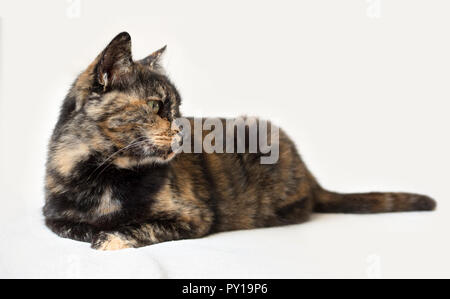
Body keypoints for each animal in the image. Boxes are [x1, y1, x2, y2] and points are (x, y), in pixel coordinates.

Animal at [43, 32, 436, 251]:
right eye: (156, 106)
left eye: (178, 109)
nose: (181, 129)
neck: (103, 173)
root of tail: (309, 173)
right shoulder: (51, 216)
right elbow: (70, 227)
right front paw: (94, 229)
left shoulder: (194, 217)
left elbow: (136, 227)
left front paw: (109, 237)